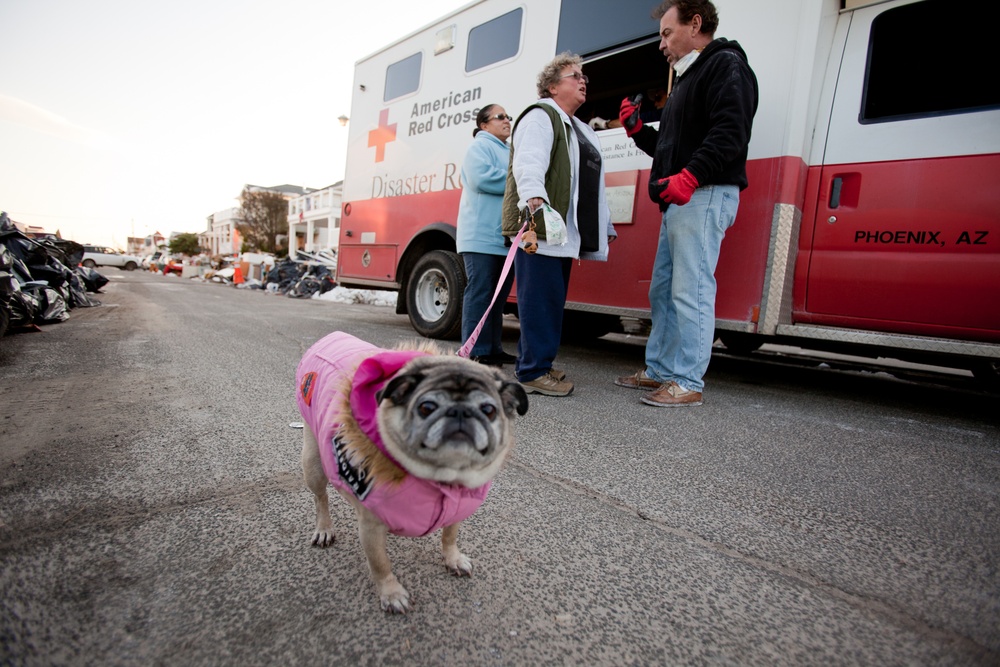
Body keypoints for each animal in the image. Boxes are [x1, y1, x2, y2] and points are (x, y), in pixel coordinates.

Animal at [296, 332, 532, 612]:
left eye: (489, 410)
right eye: (426, 407)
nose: (460, 411)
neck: (442, 477)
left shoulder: (456, 509)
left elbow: (450, 535)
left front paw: (452, 558)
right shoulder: (370, 527)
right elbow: (380, 564)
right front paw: (391, 593)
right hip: (313, 464)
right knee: (320, 497)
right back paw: (324, 528)